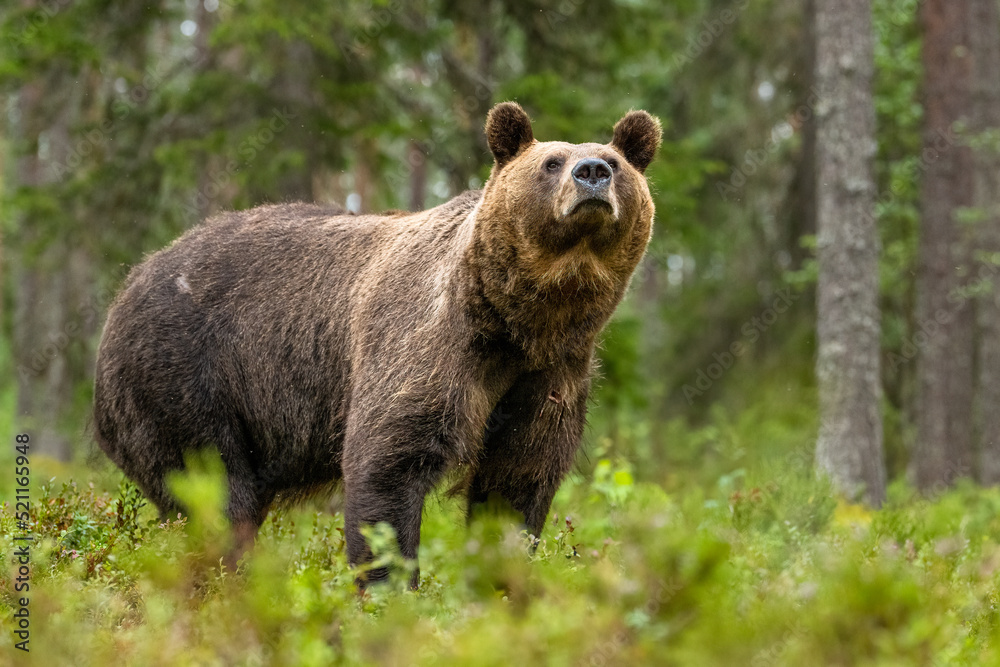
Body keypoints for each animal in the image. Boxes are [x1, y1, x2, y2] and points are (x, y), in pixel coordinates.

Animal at [93, 101, 661, 586]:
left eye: (615, 161)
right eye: (550, 161)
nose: (592, 172)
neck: (519, 320)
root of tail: (130, 282)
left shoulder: (550, 373)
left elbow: (516, 480)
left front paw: (499, 581)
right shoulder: (428, 344)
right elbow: (387, 464)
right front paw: (390, 589)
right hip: (183, 375)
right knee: (212, 492)